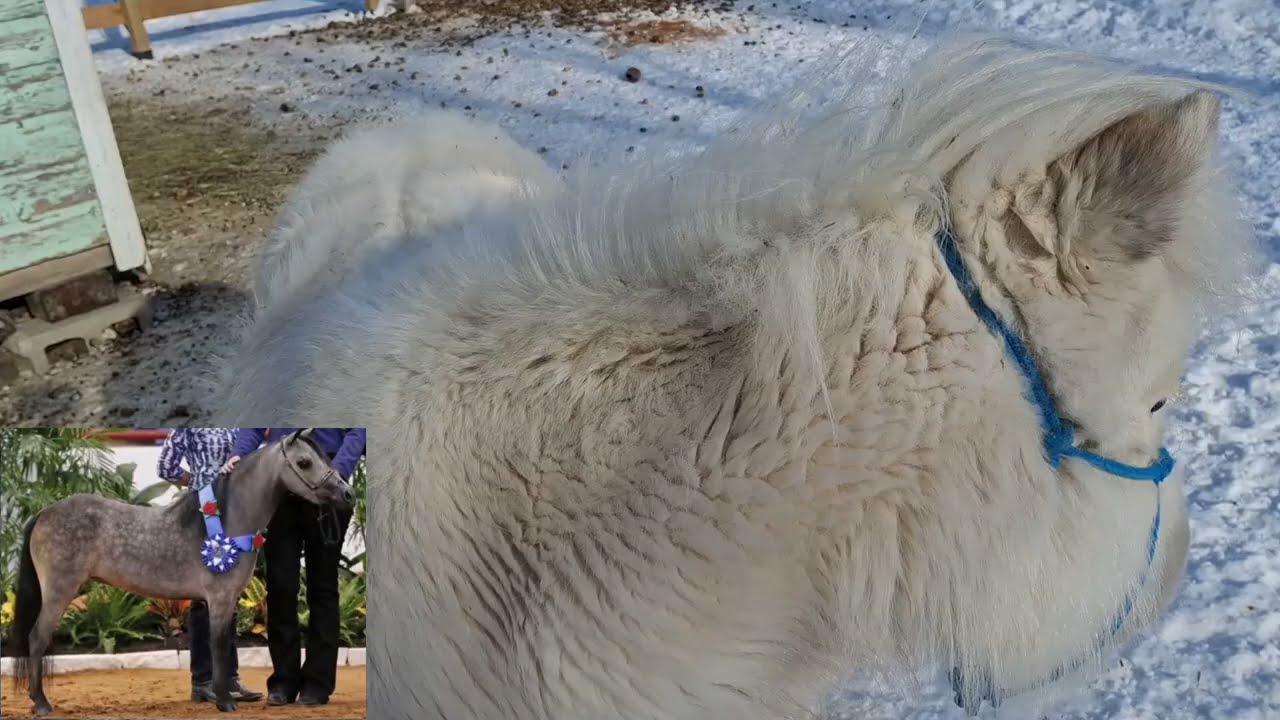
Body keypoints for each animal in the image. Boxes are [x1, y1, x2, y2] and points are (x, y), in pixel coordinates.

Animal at [9, 429, 357, 716]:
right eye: (304, 462)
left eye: (326, 457)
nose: (348, 495)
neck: (227, 518)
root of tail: (45, 511)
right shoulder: (219, 599)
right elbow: (218, 646)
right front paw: (224, 701)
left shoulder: (227, 599)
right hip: (59, 591)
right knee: (36, 638)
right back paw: (41, 704)